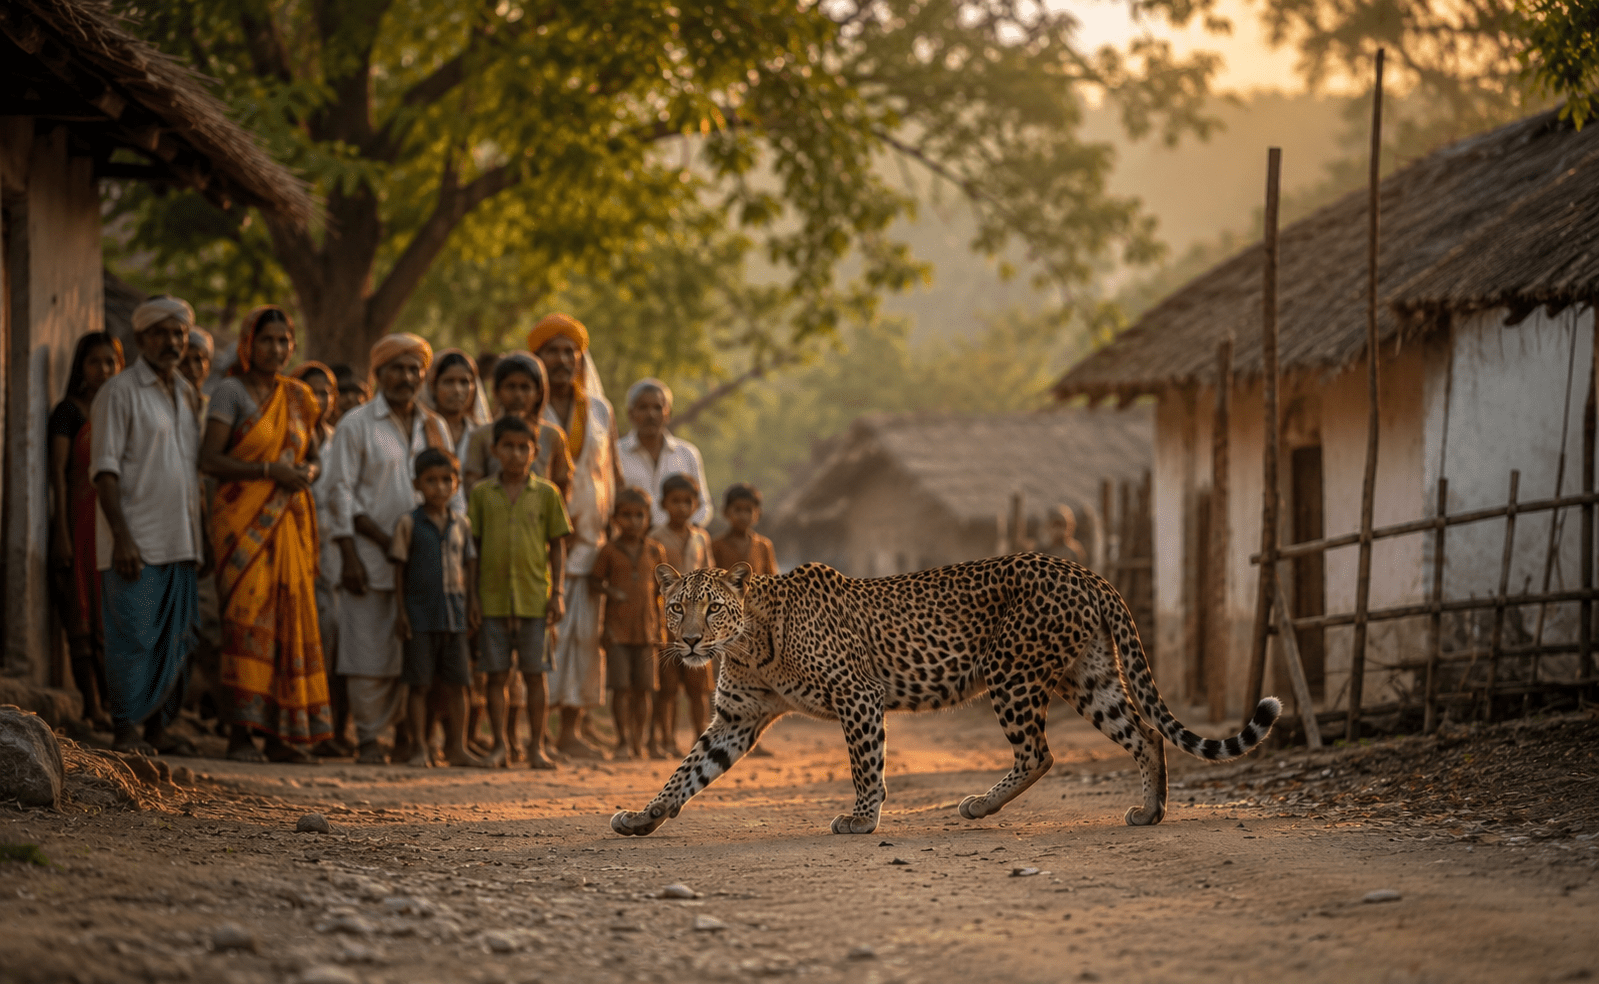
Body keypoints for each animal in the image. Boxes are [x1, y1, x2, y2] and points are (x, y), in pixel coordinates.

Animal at [610, 553, 1281, 838]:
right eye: (676, 606)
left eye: (713, 607)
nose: (691, 640)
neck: (751, 641)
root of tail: (1087, 572)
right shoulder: (734, 721)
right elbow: (686, 770)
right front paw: (645, 816)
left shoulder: (858, 695)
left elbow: (866, 764)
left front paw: (863, 818)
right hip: (1088, 677)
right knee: (1142, 733)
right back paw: (1151, 811)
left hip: (1014, 673)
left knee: (1040, 753)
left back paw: (979, 806)